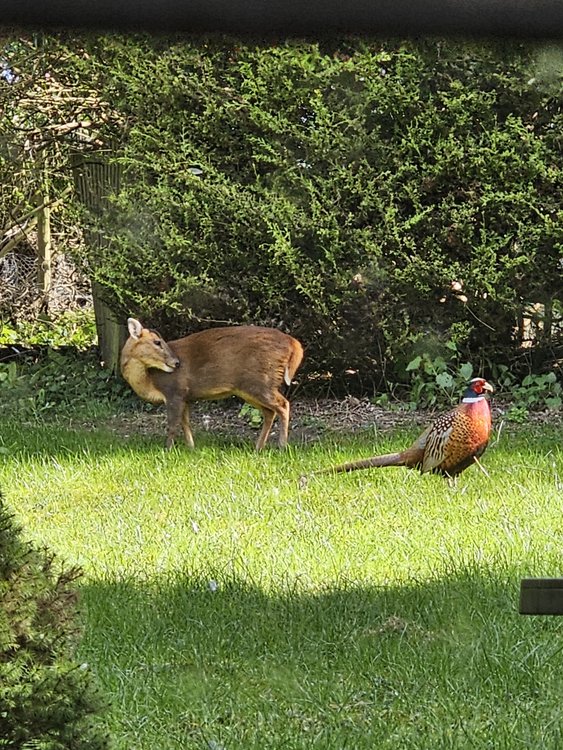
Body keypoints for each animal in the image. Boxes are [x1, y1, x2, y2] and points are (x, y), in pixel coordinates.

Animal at [120, 318, 304, 451]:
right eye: (157, 342)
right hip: (250, 388)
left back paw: (282, 446)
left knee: (283, 404)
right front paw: (191, 448)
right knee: (269, 412)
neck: (149, 379)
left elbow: (172, 425)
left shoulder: (175, 391)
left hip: (262, 381)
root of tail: (294, 344)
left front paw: (168, 450)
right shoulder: (185, 397)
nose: (176, 362)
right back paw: (258, 448)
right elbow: (185, 423)